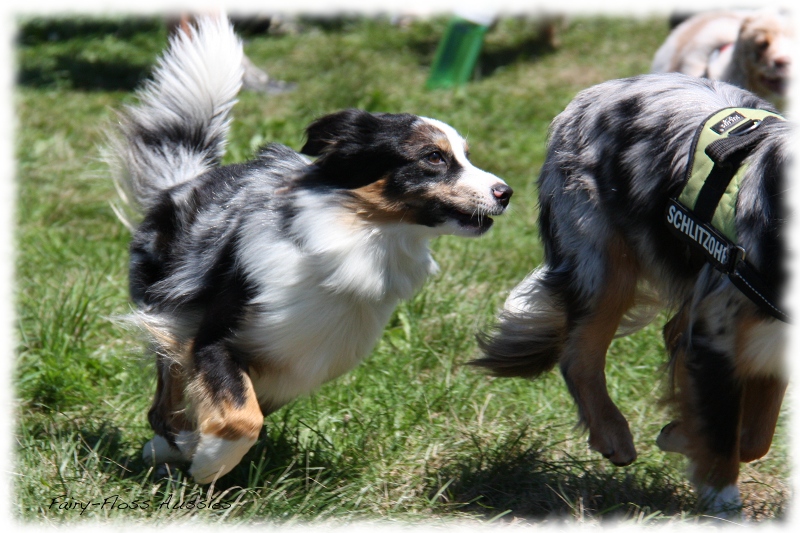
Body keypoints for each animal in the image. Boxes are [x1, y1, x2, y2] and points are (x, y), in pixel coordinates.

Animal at [472, 74, 792, 516]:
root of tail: (593, 92)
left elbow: (752, 434)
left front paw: (683, 433)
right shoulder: (717, 330)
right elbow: (723, 438)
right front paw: (722, 504)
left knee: (670, 335)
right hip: (603, 262)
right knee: (579, 356)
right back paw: (613, 435)